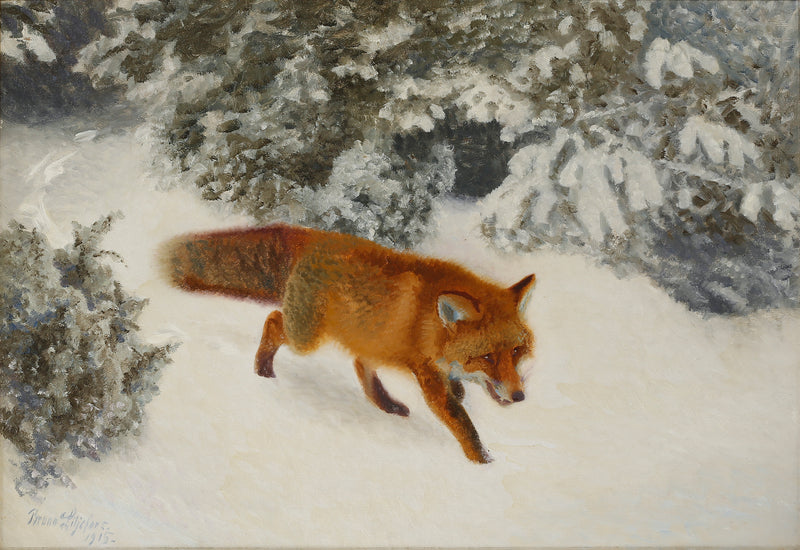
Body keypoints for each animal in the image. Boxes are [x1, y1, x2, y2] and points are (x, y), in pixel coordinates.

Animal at [161, 224, 536, 463]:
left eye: (516, 351)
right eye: (487, 356)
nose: (519, 396)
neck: (432, 325)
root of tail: (315, 236)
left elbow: (458, 391)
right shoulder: (428, 375)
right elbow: (463, 424)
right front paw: (484, 463)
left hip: (368, 336)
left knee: (359, 364)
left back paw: (387, 405)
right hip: (306, 337)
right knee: (273, 320)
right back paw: (263, 369)